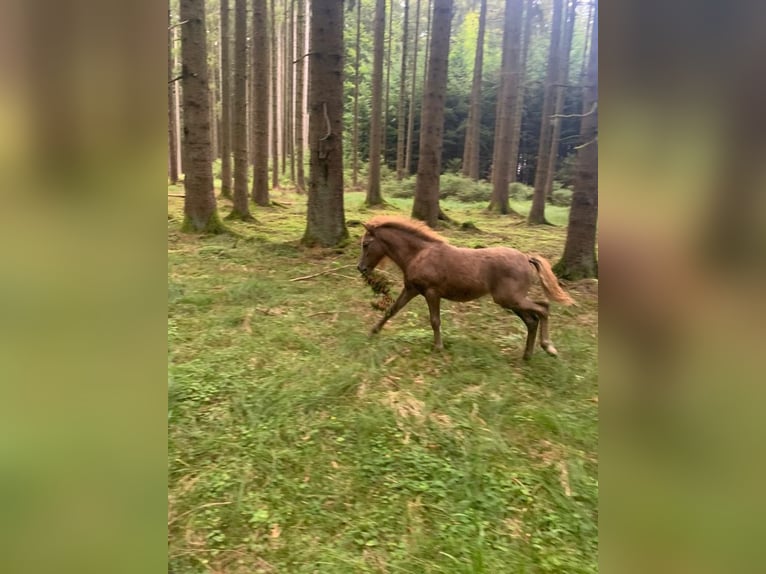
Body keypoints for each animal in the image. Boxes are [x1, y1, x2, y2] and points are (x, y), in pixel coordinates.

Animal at [357, 216, 574, 360]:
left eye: (366, 244)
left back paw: (548, 347)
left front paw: (438, 348)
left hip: (510, 299)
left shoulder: (432, 292)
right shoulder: (412, 289)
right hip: (511, 301)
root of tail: (526, 257)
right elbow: (392, 310)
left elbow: (435, 321)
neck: (419, 254)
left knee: (543, 308)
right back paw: (528, 355)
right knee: (532, 319)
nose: (361, 268)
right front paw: (372, 332)